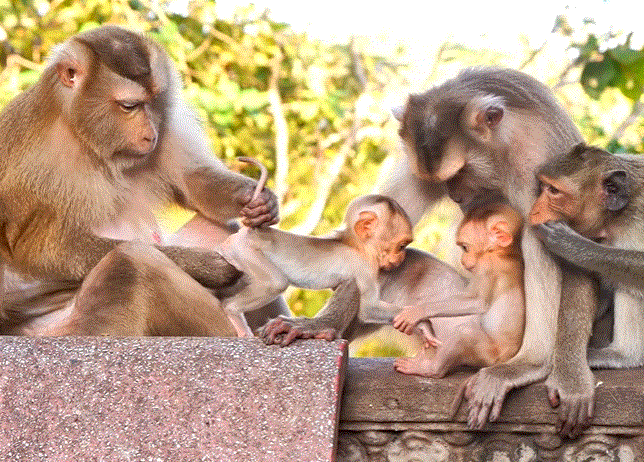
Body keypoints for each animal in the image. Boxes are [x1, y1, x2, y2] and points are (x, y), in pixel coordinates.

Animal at [0, 25, 287, 337]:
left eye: (154, 102)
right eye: (129, 106)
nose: (150, 134)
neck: (81, 135)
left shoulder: (167, 128)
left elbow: (192, 182)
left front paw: (257, 199)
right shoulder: (35, 166)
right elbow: (47, 253)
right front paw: (207, 266)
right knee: (131, 263)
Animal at [217, 188, 414, 337]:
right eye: (401, 246)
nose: (401, 257)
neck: (357, 245)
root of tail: (250, 233)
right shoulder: (366, 268)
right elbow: (368, 308)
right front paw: (413, 316)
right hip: (245, 250)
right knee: (275, 283)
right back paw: (232, 311)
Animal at [392, 202, 525, 379]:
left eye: (465, 248)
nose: (463, 260)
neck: (505, 253)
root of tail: (507, 359)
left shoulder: (486, 267)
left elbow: (477, 302)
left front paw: (417, 312)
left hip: (488, 357)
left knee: (465, 333)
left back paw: (431, 369)